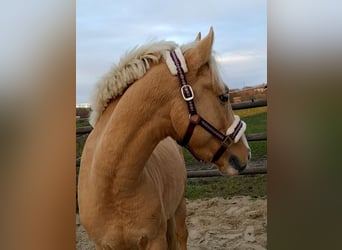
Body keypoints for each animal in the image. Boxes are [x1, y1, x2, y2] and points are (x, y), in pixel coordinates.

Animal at [78, 27, 251, 250]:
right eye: (223, 96)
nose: (246, 153)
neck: (113, 188)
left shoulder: (156, 240)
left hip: (178, 206)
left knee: (181, 235)